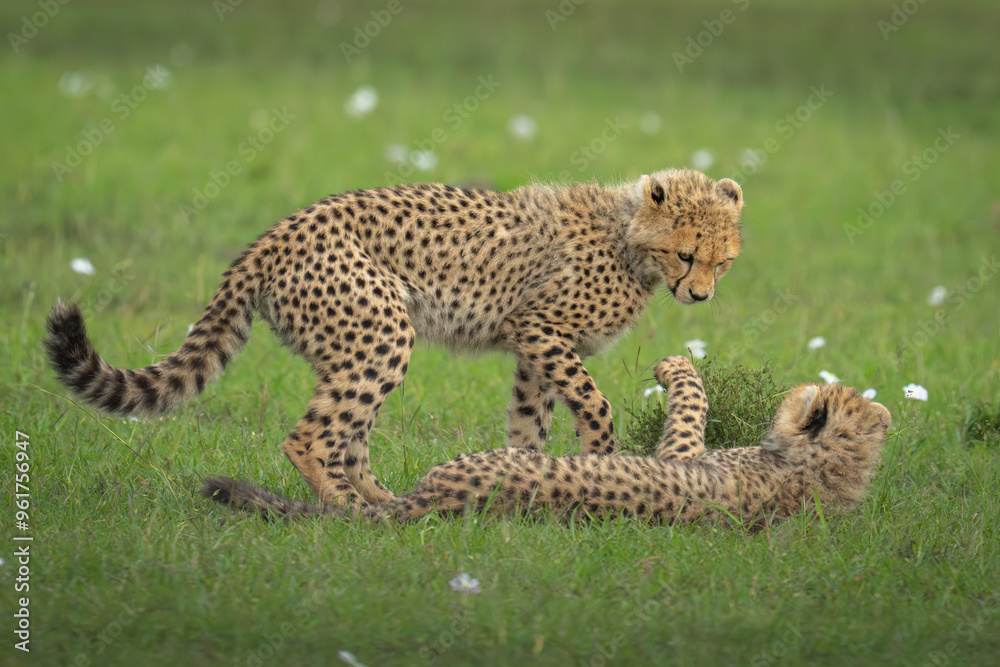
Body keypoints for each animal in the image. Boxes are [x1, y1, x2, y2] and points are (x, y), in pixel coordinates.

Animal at [45, 168, 743, 508]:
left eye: (724, 261)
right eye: (686, 255)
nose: (702, 295)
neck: (628, 236)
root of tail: (273, 236)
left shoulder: (532, 351)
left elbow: (529, 421)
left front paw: (528, 481)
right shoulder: (540, 329)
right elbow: (594, 403)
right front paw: (597, 456)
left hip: (355, 344)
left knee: (347, 438)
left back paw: (381, 499)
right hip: (383, 330)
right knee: (310, 438)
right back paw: (349, 512)